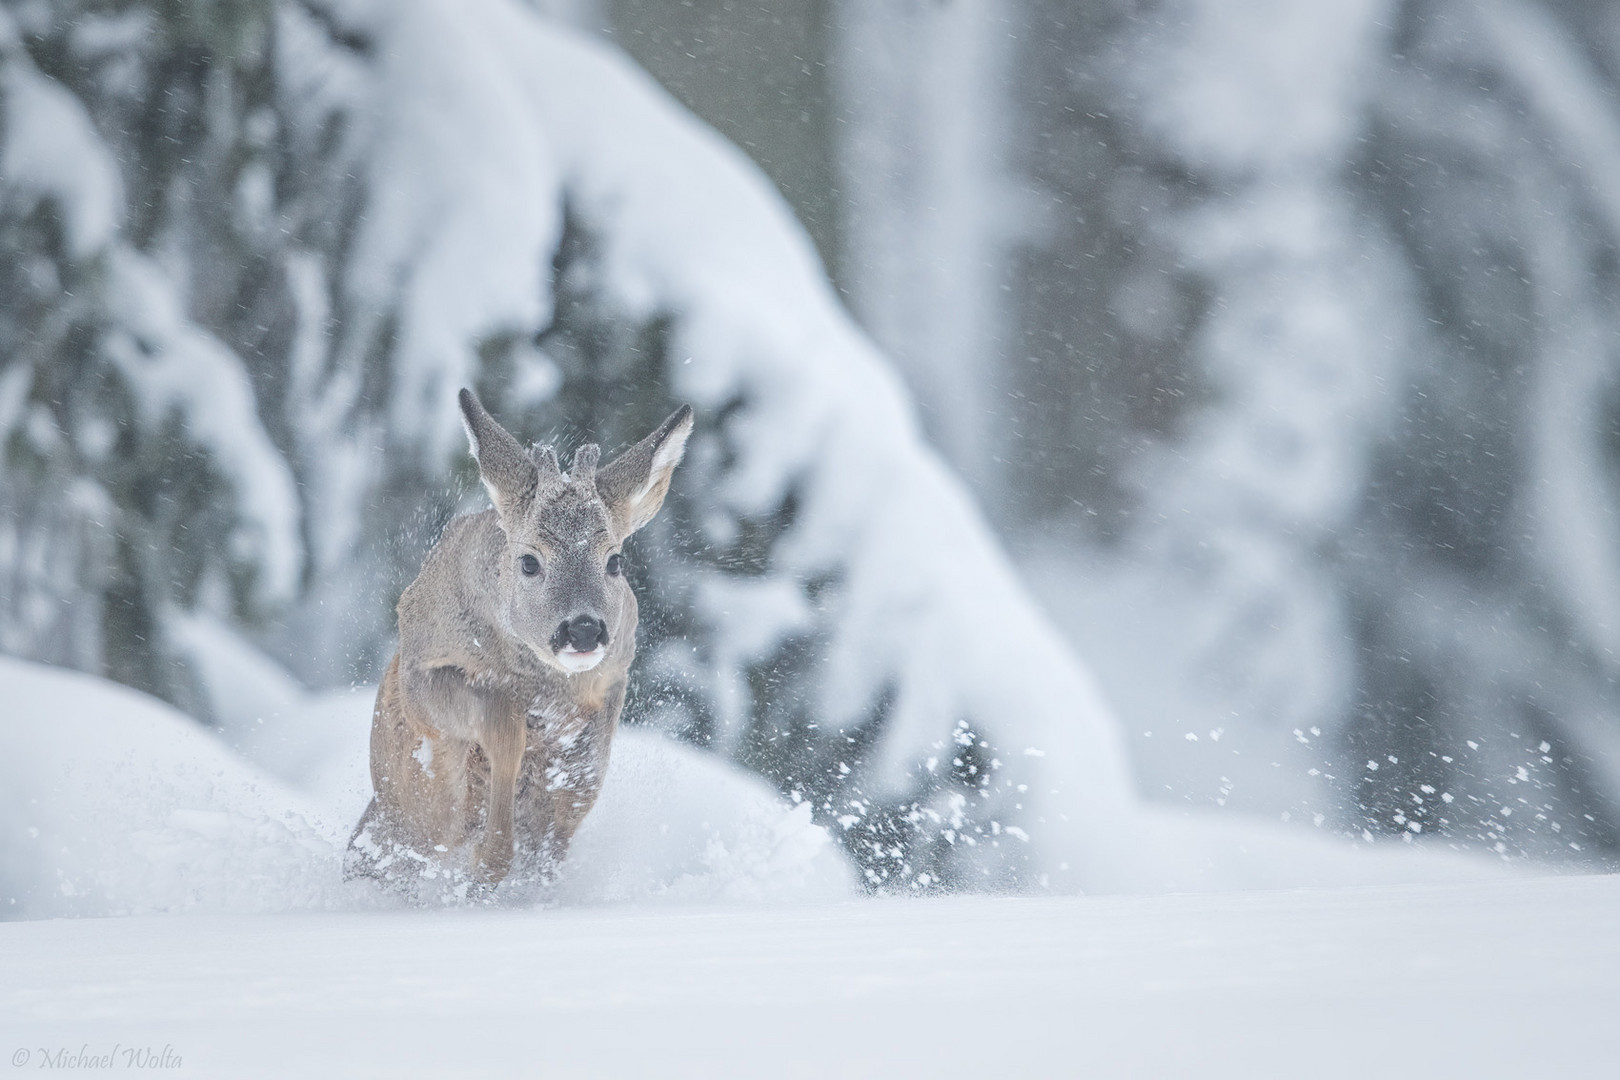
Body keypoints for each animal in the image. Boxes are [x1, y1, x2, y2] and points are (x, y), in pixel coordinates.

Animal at [348, 388, 690, 893]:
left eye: (615, 560)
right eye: (529, 561)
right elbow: (503, 727)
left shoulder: (611, 686)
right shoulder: (422, 677)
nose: (583, 628)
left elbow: (581, 783)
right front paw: (486, 864)